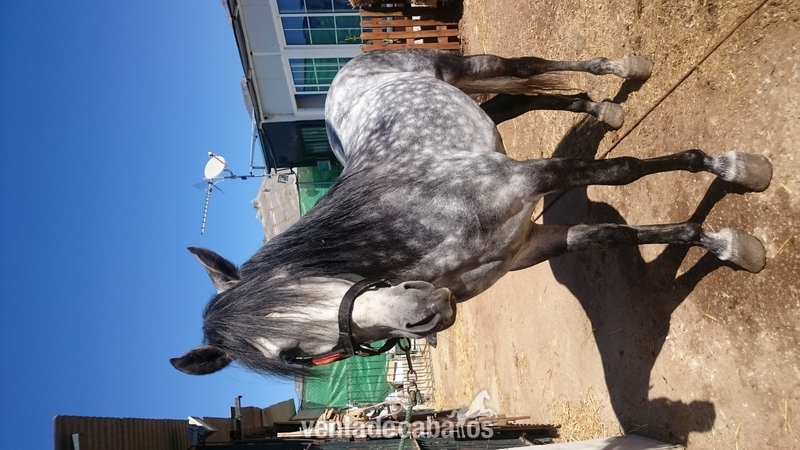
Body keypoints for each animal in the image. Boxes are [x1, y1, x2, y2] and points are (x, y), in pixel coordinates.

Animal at [171, 49, 772, 379]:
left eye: (300, 285)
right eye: (294, 357)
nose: (421, 312)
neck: (416, 220)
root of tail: (343, 73)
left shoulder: (527, 179)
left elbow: (622, 171)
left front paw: (739, 170)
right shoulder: (534, 243)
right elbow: (611, 234)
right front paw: (729, 244)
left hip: (459, 67)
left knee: (527, 67)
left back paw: (625, 70)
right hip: (471, 100)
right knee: (518, 100)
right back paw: (602, 108)